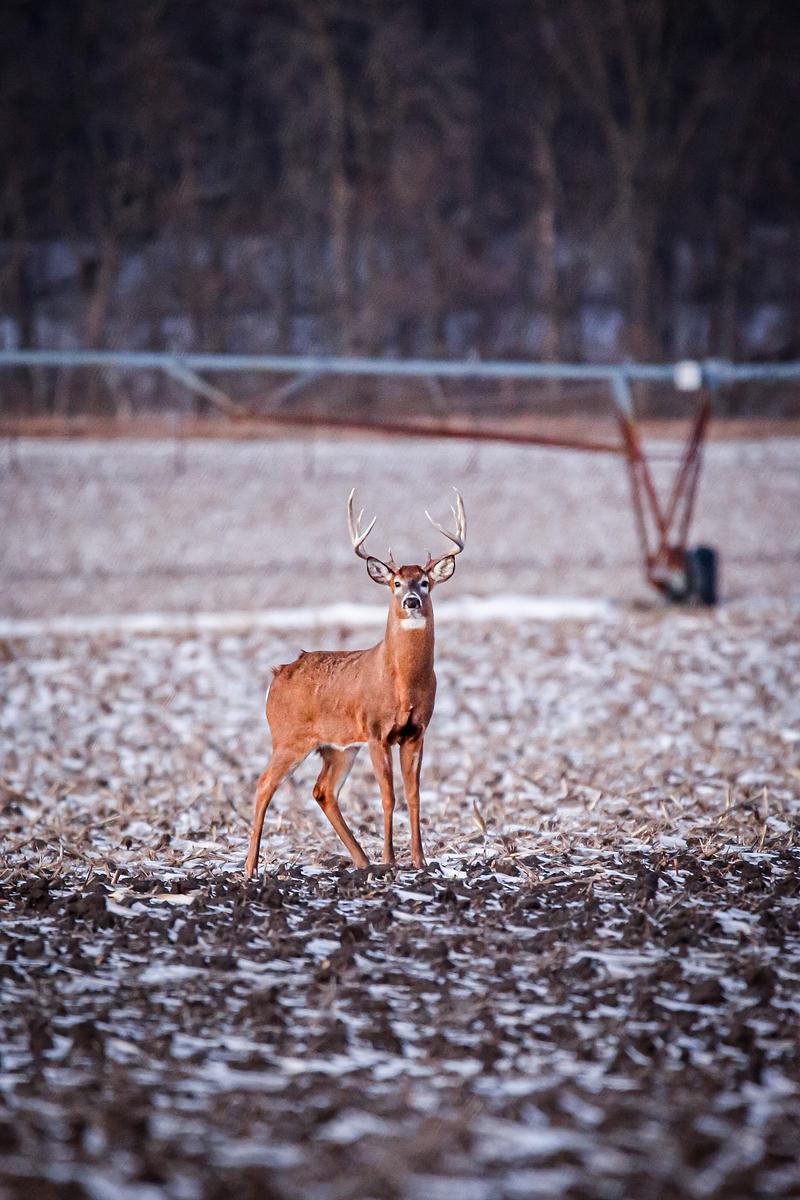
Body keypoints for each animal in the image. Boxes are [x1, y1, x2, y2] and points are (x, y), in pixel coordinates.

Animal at [244, 488, 466, 879]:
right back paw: (249, 870)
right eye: (396, 583)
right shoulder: (377, 731)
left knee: (323, 791)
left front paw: (420, 861)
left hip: (339, 747)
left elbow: (414, 795)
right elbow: (388, 795)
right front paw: (390, 859)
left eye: (425, 582)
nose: (412, 601)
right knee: (263, 784)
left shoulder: (416, 731)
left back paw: (361, 861)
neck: (403, 686)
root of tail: (277, 675)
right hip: (288, 738)